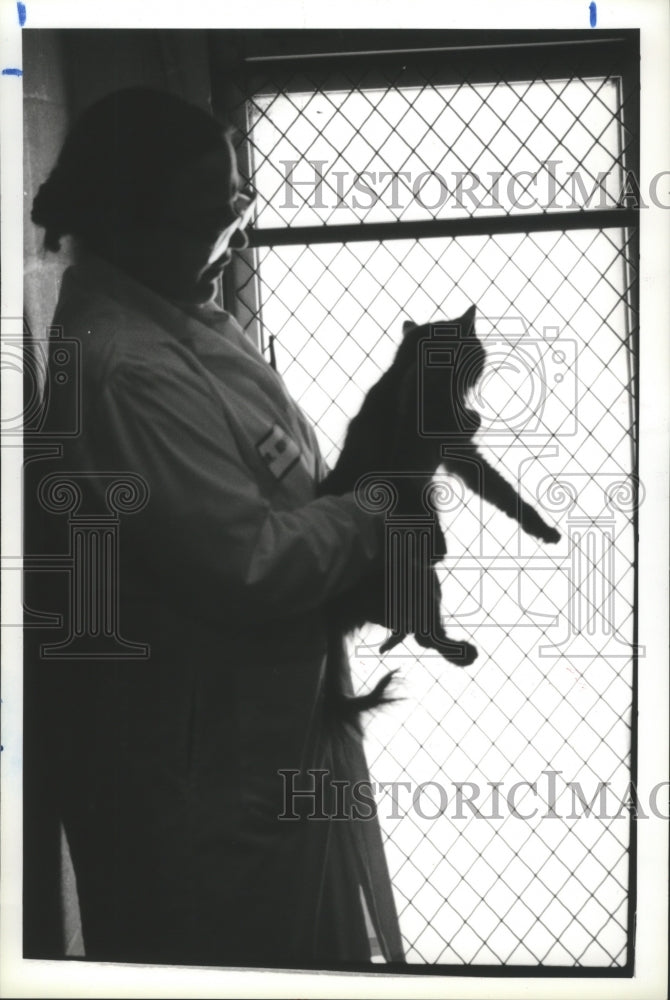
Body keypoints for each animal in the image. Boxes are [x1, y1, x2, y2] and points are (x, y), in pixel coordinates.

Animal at [320, 300, 560, 724]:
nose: (481, 365)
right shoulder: (426, 460)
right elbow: (459, 498)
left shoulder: (458, 455)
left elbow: (501, 493)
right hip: (414, 578)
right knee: (420, 629)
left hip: (420, 585)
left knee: (419, 632)